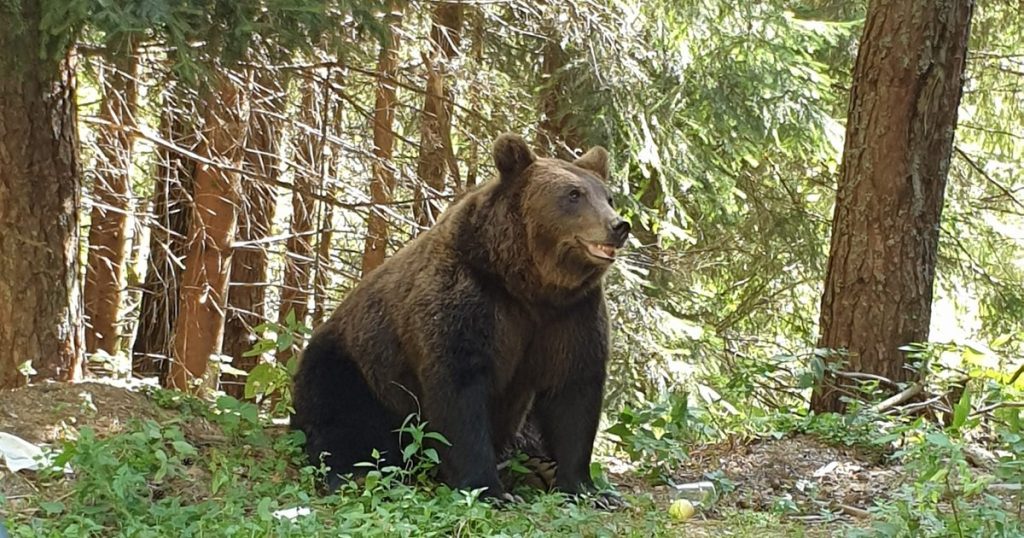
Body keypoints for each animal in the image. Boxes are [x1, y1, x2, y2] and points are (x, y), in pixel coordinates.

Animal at [291, 133, 630, 501]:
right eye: (573, 194)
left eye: (608, 196)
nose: (618, 225)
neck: (530, 286)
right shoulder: (469, 297)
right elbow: (461, 391)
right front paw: (489, 489)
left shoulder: (571, 314)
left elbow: (573, 390)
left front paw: (588, 488)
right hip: (354, 366)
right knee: (344, 420)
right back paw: (355, 472)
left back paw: (537, 465)